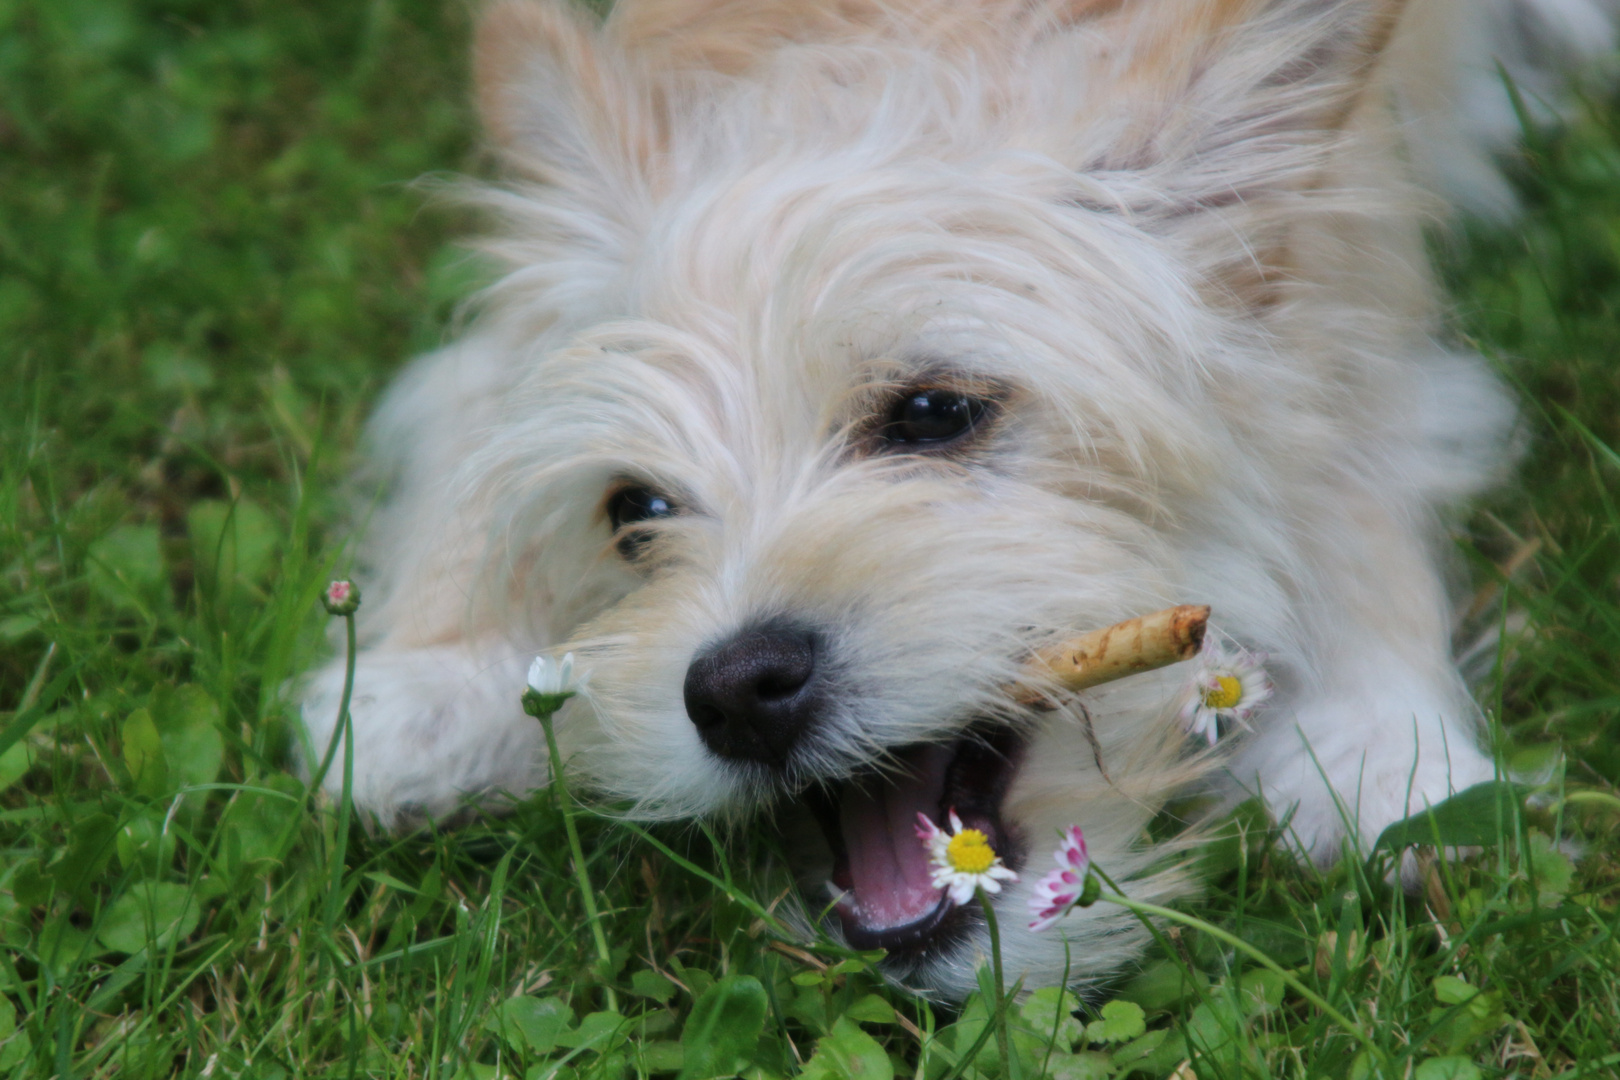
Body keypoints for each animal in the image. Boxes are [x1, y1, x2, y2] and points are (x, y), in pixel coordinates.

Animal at [298, 0, 1613, 1003]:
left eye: (934, 414)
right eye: (635, 510)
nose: (734, 691)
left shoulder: (1364, 323)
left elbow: (1354, 494)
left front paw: (1384, 751)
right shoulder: (485, 354)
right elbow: (466, 454)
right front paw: (431, 686)